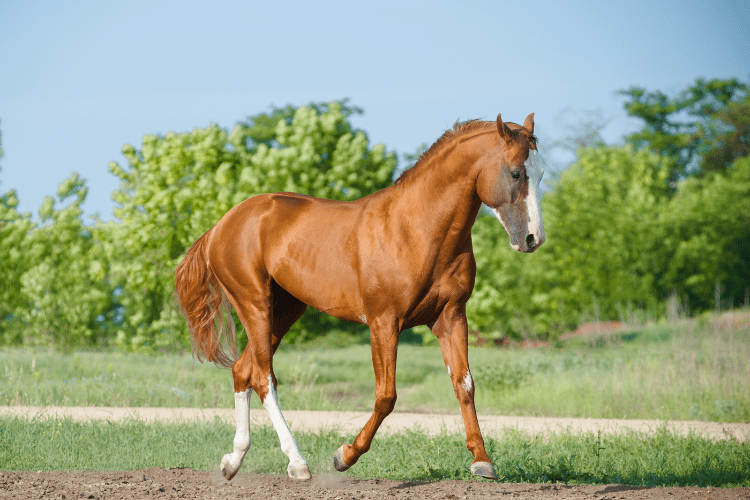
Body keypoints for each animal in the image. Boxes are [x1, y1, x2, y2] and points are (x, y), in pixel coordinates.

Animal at [176, 112, 548, 480]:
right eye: (516, 172)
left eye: (541, 173)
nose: (533, 239)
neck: (415, 230)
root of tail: (220, 226)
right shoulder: (383, 322)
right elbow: (386, 396)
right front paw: (344, 456)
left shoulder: (451, 317)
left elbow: (464, 384)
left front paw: (482, 461)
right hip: (254, 305)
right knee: (263, 377)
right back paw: (297, 463)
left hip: (284, 310)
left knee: (242, 370)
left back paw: (233, 461)